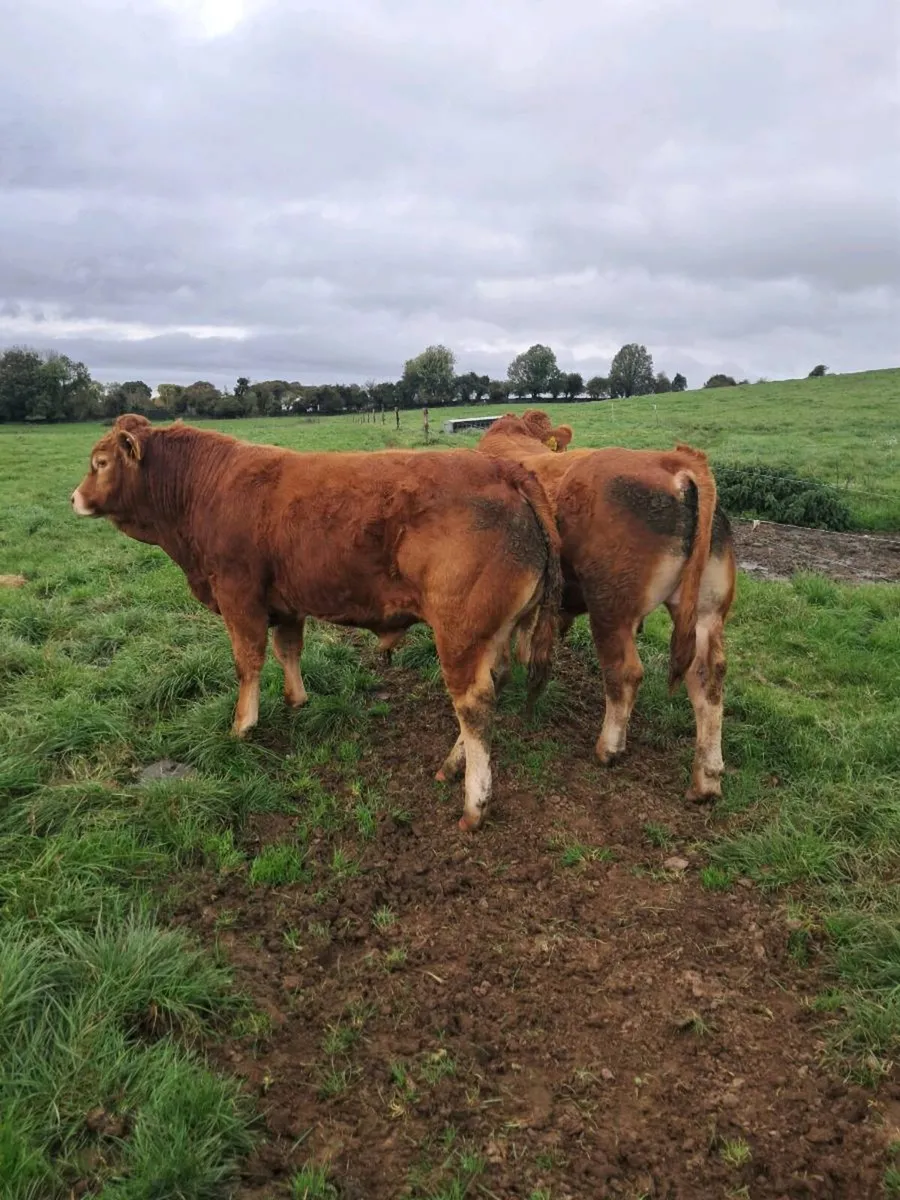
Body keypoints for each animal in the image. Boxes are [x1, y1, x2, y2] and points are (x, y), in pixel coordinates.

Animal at [71, 414, 561, 831]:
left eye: (100, 463)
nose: (74, 498)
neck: (203, 489)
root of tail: (503, 469)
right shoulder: (286, 603)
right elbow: (288, 649)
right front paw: (296, 699)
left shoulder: (237, 595)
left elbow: (247, 660)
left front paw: (242, 725)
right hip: (493, 634)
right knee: (493, 685)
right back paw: (451, 765)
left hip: (459, 633)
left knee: (474, 705)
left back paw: (474, 803)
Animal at [477, 410, 736, 803]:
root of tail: (673, 461)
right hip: (707, 614)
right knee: (707, 679)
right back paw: (706, 779)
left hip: (611, 612)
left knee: (625, 674)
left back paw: (609, 748)